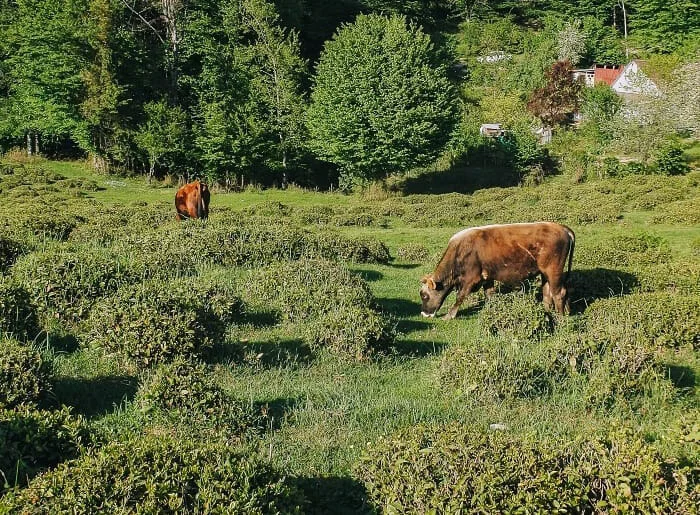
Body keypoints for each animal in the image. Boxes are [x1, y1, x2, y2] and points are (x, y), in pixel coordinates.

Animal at [422, 222, 576, 318]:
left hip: (553, 270)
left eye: (424, 296)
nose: (424, 314)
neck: (460, 250)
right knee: (547, 292)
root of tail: (560, 227)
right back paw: (547, 312)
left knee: (559, 293)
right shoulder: (487, 277)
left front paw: (449, 315)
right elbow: (489, 295)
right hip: (545, 273)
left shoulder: (471, 278)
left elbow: (460, 296)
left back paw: (560, 318)